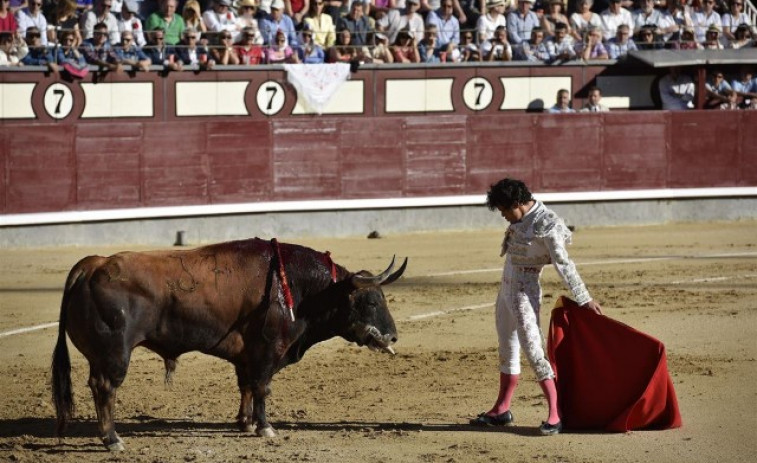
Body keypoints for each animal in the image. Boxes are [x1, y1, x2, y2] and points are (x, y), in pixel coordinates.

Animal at [50, 237, 404, 452]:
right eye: (372, 301)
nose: (393, 336)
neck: (298, 288)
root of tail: (93, 264)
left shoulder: (246, 356)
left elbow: (245, 386)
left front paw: (244, 423)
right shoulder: (267, 351)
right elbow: (262, 388)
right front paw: (265, 427)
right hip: (114, 354)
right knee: (105, 388)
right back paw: (112, 440)